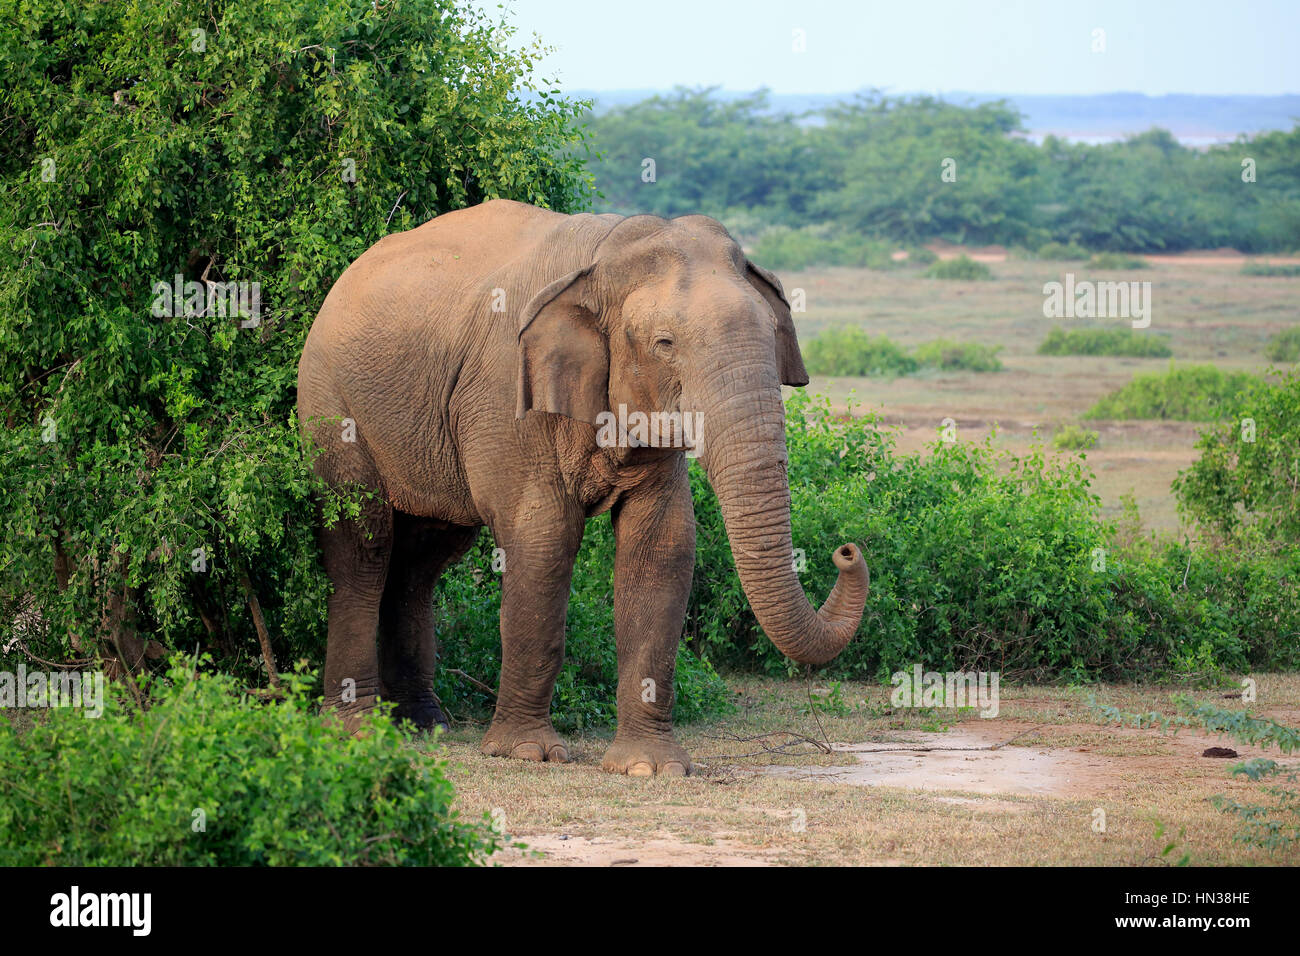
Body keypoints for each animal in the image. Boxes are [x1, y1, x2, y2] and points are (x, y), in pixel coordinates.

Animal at [293, 197, 863, 775]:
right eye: (664, 344)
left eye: (773, 335)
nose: (847, 551)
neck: (606, 255)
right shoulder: (506, 398)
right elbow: (544, 540)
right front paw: (529, 753)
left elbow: (663, 546)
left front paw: (650, 768)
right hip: (330, 404)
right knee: (363, 548)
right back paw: (358, 729)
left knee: (423, 560)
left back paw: (422, 726)